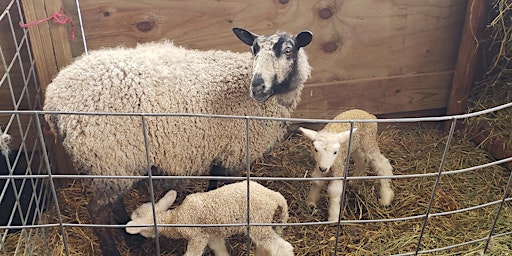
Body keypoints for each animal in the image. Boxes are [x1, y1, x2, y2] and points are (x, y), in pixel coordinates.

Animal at [126, 181, 294, 255]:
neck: (175, 219)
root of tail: (274, 196)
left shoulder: (197, 237)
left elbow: (192, 253)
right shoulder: (212, 235)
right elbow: (219, 249)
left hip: (257, 221)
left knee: (284, 247)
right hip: (263, 222)